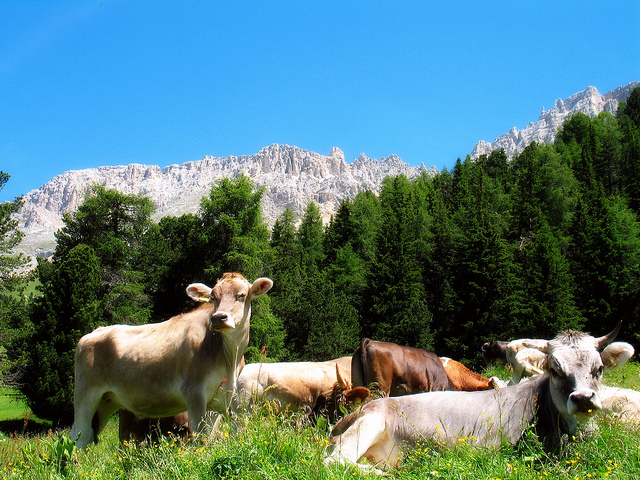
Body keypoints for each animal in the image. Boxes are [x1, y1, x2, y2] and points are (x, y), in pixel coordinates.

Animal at [70, 273, 273, 449]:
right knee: (79, 438)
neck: (229, 357)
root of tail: (94, 332)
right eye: (213, 297)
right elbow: (200, 438)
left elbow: (210, 436)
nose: (218, 318)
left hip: (107, 401)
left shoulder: (219, 399)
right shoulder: (194, 393)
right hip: (86, 396)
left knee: (86, 436)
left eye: (241, 295)